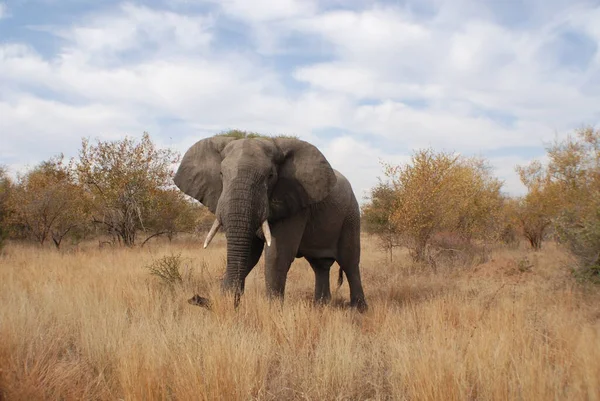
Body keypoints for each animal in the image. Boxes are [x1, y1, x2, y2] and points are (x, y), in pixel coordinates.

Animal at [173, 136, 368, 310]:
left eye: (270, 176)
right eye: (221, 174)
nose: (194, 298)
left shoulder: (295, 202)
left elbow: (277, 253)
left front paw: (274, 312)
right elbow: (250, 253)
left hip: (351, 215)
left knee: (350, 261)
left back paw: (358, 309)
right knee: (320, 265)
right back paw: (321, 307)